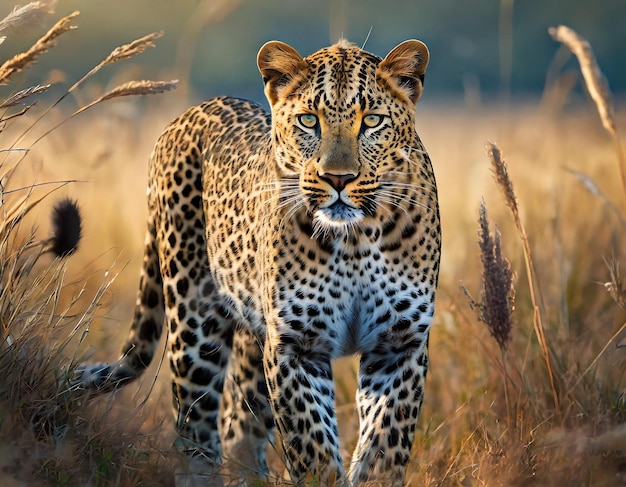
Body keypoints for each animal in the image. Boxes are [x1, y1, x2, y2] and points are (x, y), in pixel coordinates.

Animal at [73, 39, 438, 487]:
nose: (338, 178)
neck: (355, 239)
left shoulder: (399, 343)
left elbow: (385, 448)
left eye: (371, 121)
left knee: (238, 425)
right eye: (308, 121)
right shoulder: (296, 345)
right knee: (195, 427)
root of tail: (187, 115)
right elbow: (313, 448)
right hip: (194, 320)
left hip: (251, 330)